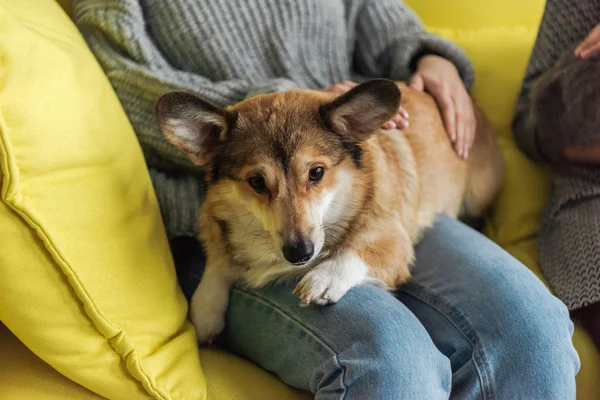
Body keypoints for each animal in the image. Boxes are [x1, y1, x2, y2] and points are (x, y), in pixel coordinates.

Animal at [157, 79, 504, 344]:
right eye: (256, 181)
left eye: (316, 172)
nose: (299, 253)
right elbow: (217, 265)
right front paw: (205, 313)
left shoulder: (395, 240)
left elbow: (357, 252)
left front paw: (324, 278)